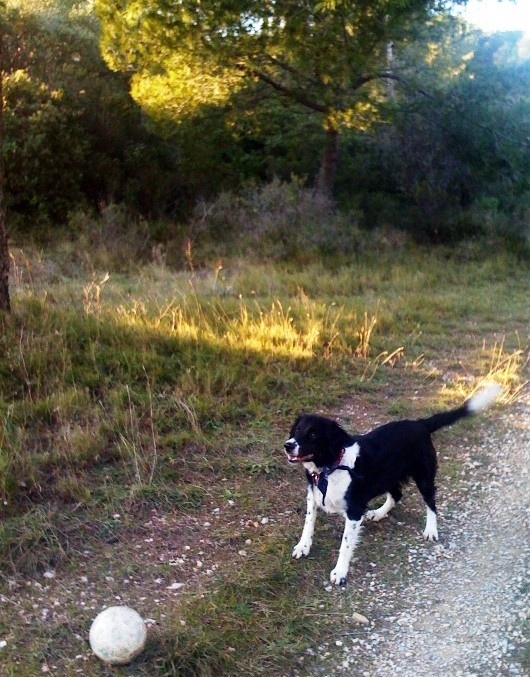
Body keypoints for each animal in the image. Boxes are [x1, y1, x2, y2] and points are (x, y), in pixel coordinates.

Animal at [282, 382, 498, 584]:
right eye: (297, 429)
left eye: (313, 434)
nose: (287, 445)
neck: (330, 467)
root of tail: (420, 424)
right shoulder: (313, 495)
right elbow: (308, 524)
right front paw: (303, 547)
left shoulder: (354, 509)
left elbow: (345, 544)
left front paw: (340, 572)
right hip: (388, 476)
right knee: (397, 494)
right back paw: (378, 513)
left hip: (423, 475)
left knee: (431, 501)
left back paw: (431, 530)